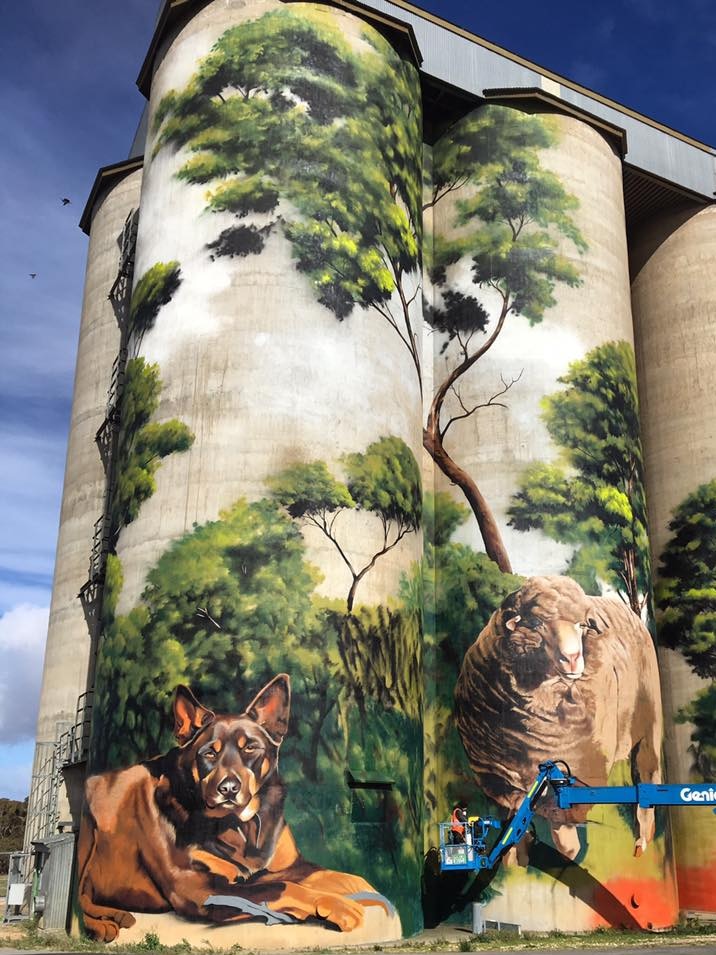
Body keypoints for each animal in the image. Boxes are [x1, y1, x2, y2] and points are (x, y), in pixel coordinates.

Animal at [79, 680, 388, 940]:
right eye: (209, 753)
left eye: (250, 747)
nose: (228, 788)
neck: (241, 825)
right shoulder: (200, 889)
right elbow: (283, 887)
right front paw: (338, 905)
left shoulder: (288, 866)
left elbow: (331, 875)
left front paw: (364, 889)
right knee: (81, 897)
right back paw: (105, 924)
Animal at [456, 580, 664, 864]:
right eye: (534, 622)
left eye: (583, 624)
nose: (573, 658)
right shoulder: (497, 776)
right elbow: (516, 816)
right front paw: (514, 859)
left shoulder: (577, 781)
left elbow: (565, 836)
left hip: (650, 722)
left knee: (647, 773)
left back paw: (642, 841)